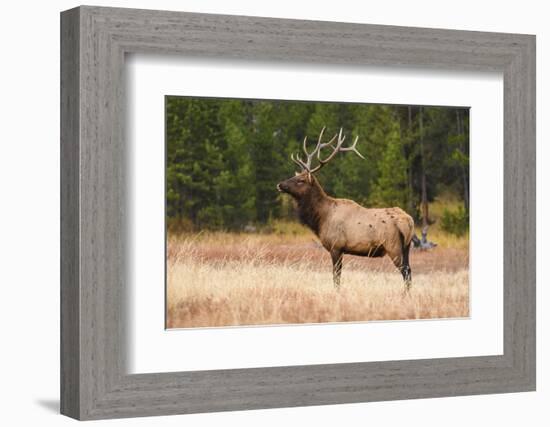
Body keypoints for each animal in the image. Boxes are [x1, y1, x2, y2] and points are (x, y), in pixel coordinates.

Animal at [278, 129, 416, 292]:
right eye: (295, 176)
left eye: (301, 180)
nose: (280, 184)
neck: (320, 219)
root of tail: (409, 221)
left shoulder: (336, 246)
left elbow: (336, 276)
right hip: (407, 247)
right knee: (409, 270)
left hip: (393, 246)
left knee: (406, 272)